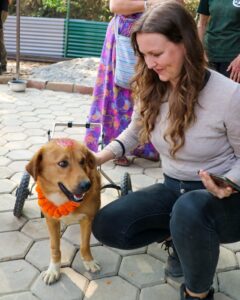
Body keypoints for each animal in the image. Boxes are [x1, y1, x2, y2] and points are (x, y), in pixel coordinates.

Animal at [25, 138, 101, 284]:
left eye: (82, 161)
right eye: (63, 163)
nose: (87, 185)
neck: (63, 198)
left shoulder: (87, 219)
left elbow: (85, 245)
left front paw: (88, 261)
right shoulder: (51, 221)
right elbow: (55, 248)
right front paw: (54, 270)